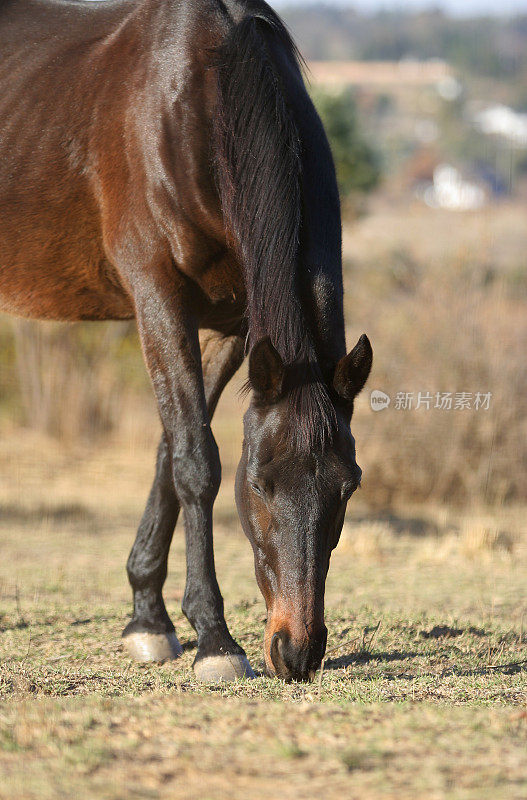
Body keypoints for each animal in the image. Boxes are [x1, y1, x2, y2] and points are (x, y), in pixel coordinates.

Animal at [1, 0, 372, 680]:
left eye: (348, 485)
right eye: (261, 481)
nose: (296, 651)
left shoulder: (233, 328)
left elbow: (169, 450)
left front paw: (148, 618)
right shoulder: (158, 297)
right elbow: (196, 461)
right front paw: (217, 641)